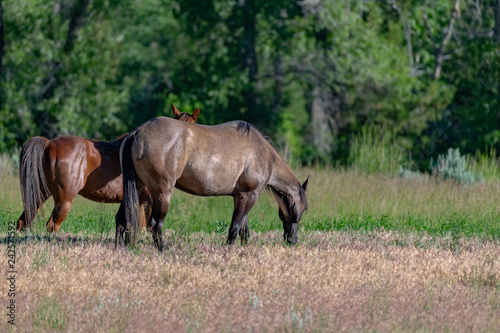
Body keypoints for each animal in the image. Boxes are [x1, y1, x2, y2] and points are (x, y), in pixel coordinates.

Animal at [17, 104, 199, 231]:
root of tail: (49, 143)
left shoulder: (140, 201)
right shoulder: (148, 201)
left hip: (40, 193)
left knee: (23, 220)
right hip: (64, 200)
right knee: (52, 225)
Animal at [116, 116, 308, 249]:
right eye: (305, 208)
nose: (293, 240)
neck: (263, 154)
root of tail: (138, 132)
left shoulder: (240, 197)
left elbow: (244, 231)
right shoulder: (249, 196)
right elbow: (235, 228)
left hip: (138, 187)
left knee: (123, 219)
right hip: (161, 194)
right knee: (156, 225)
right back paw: (163, 251)